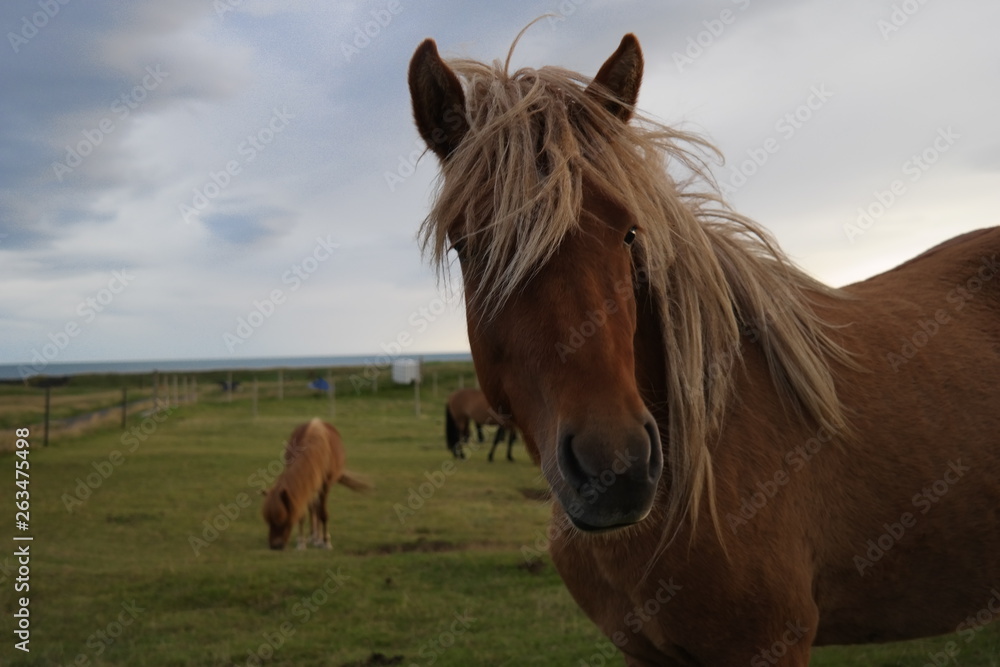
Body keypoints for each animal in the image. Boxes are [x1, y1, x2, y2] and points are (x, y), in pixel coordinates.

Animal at [262, 418, 370, 550]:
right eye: (268, 521)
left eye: (283, 520)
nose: (275, 546)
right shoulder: (304, 486)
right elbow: (303, 512)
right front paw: (301, 543)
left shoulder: (325, 486)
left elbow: (323, 513)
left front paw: (326, 542)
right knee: (313, 508)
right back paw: (313, 537)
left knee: (318, 509)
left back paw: (318, 539)